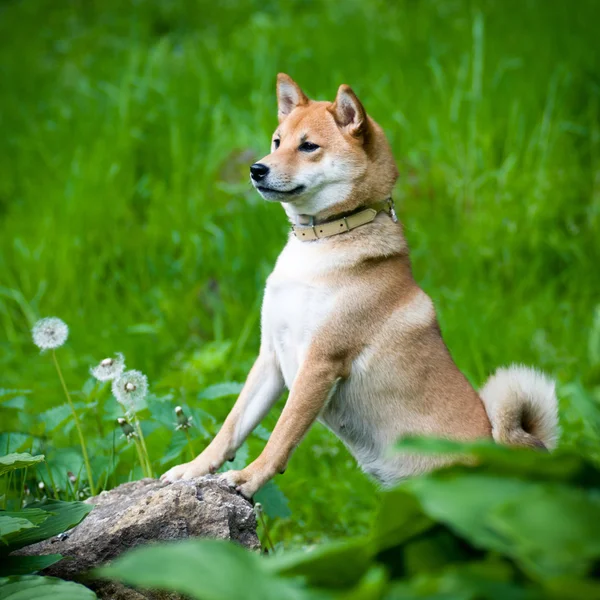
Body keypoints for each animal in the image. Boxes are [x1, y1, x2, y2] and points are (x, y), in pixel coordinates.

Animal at [162, 75, 560, 496]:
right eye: (277, 141)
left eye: (308, 146)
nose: (256, 169)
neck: (319, 243)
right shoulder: (270, 357)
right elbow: (232, 427)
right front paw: (193, 469)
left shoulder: (319, 364)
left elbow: (282, 435)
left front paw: (248, 478)